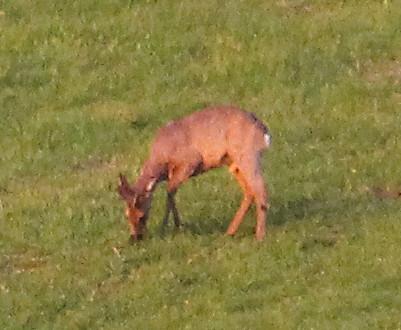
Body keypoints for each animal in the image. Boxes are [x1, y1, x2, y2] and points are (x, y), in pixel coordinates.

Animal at [117, 104, 270, 241]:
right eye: (126, 215)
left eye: (141, 216)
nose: (135, 238)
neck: (162, 157)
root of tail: (264, 131)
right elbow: (171, 192)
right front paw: (176, 226)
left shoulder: (190, 162)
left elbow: (170, 191)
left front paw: (168, 227)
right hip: (234, 163)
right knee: (249, 191)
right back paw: (230, 232)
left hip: (247, 155)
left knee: (260, 189)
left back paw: (259, 236)